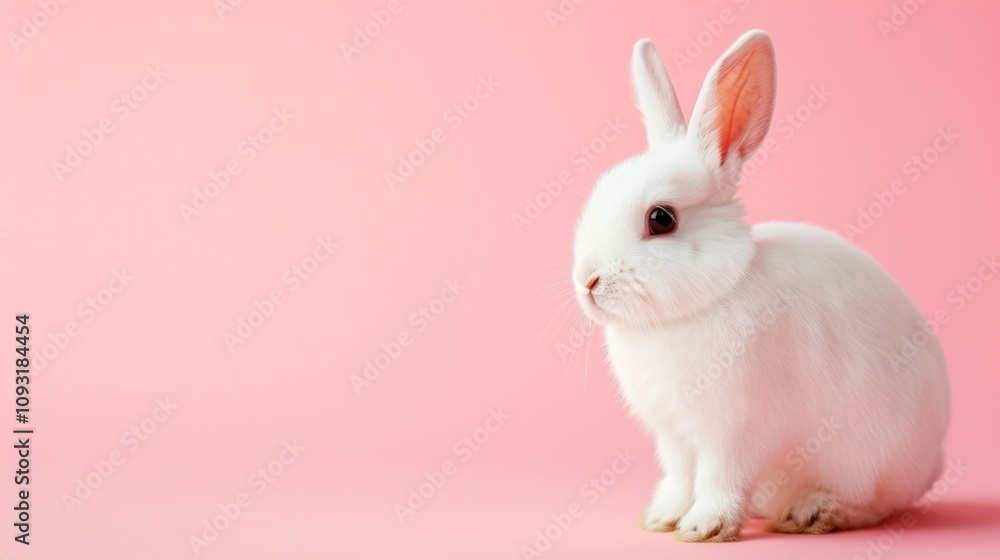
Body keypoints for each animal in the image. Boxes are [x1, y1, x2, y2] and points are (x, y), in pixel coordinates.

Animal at [571, 29, 950, 542]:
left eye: (661, 219)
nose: (587, 281)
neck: (708, 297)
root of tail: (934, 460)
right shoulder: (674, 435)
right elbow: (680, 477)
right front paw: (662, 519)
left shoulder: (735, 432)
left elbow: (718, 478)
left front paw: (704, 528)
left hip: (868, 457)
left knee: (873, 503)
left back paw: (812, 512)